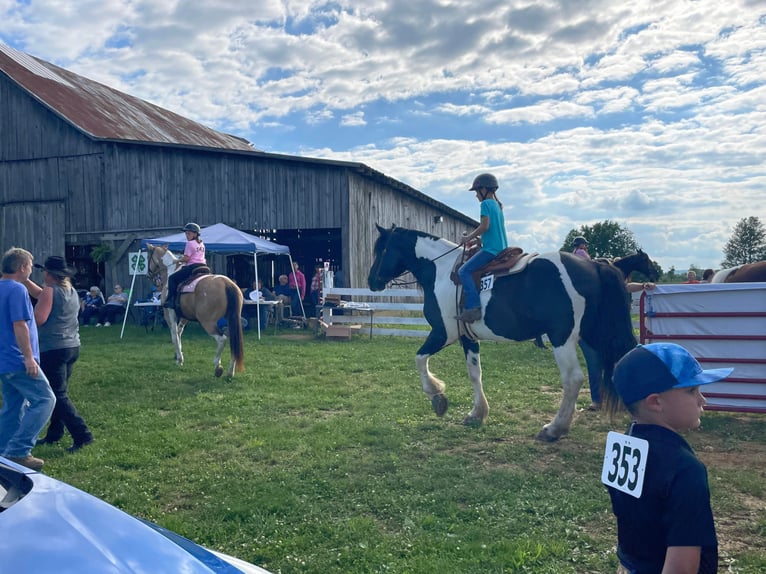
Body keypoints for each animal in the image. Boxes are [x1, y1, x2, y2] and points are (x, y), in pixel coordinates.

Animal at [147, 245, 246, 380]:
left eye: (148, 256)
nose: (149, 275)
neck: (170, 271)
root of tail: (227, 283)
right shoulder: (185, 317)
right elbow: (179, 332)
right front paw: (178, 355)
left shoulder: (170, 314)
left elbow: (174, 335)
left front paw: (179, 359)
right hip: (231, 320)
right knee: (232, 341)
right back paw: (230, 372)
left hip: (207, 322)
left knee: (222, 339)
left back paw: (218, 366)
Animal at [368, 227, 640, 444]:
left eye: (381, 250)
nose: (371, 281)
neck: (441, 271)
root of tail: (594, 265)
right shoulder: (468, 337)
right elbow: (475, 373)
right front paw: (477, 413)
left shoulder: (443, 333)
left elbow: (419, 359)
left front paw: (437, 396)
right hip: (594, 336)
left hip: (562, 338)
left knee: (573, 379)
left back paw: (554, 428)